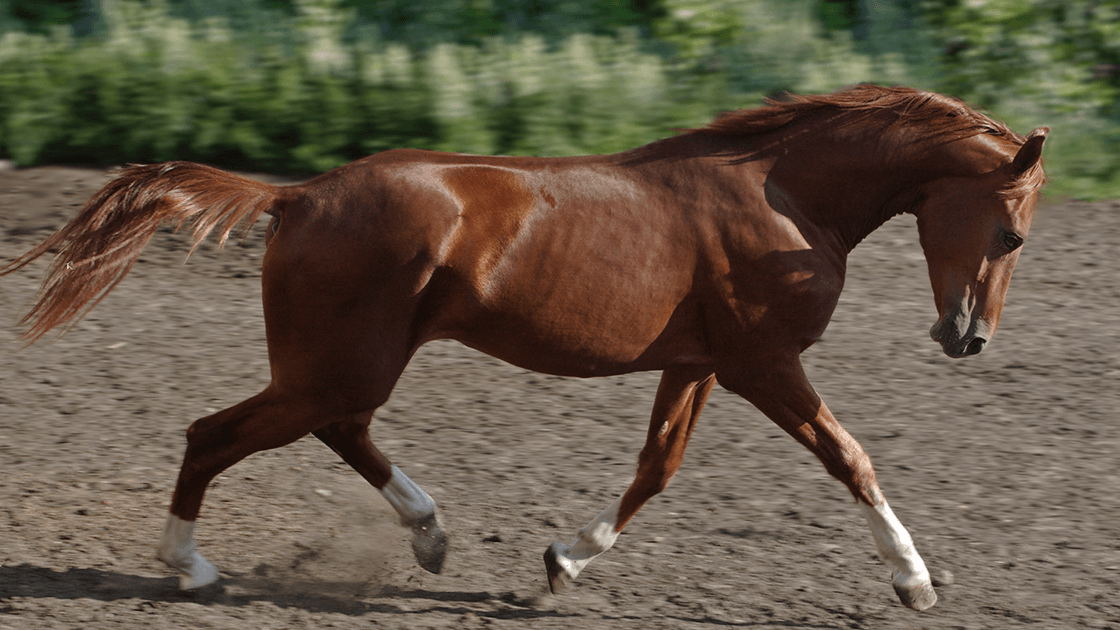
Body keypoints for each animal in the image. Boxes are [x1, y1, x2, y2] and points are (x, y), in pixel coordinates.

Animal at [4, 84, 1043, 609]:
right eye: (1011, 234)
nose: (969, 338)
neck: (784, 197)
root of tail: (297, 195)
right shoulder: (763, 365)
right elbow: (851, 457)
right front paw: (915, 582)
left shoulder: (699, 364)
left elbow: (655, 470)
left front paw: (562, 564)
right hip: (338, 362)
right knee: (217, 433)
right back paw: (191, 567)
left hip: (346, 362)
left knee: (337, 429)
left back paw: (430, 535)